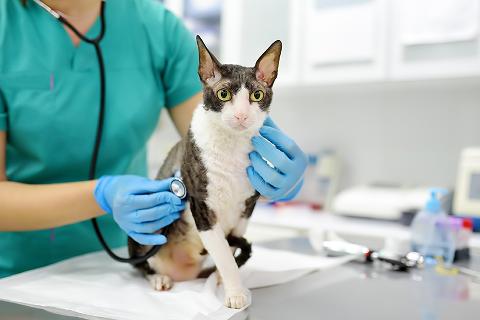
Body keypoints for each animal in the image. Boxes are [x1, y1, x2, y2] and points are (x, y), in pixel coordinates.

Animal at [129, 36, 282, 308]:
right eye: (224, 94)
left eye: (257, 95)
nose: (241, 116)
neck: (232, 148)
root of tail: (183, 274)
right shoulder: (202, 208)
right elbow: (224, 255)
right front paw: (235, 293)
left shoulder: (246, 209)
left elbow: (229, 252)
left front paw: (224, 282)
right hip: (148, 223)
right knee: (142, 264)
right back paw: (159, 278)